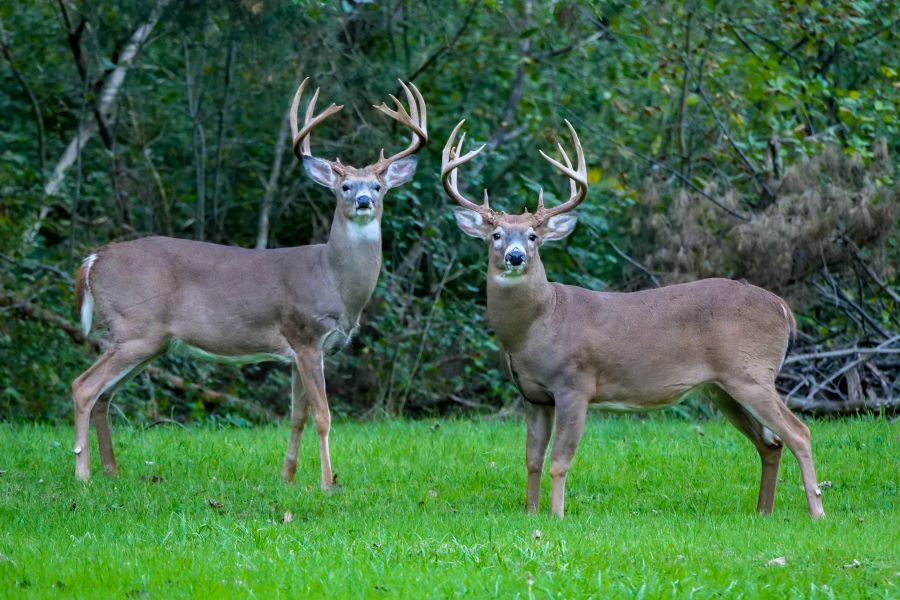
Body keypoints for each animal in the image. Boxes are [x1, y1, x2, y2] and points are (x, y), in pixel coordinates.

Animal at [68, 76, 428, 488]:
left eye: (379, 186)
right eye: (344, 187)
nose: (365, 200)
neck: (334, 279)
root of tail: (94, 259)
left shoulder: (302, 352)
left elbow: (297, 416)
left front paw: (288, 478)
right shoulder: (306, 336)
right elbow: (323, 416)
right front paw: (327, 484)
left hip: (146, 341)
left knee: (105, 396)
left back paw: (111, 471)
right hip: (135, 330)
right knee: (83, 387)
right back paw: (83, 475)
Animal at [440, 119, 828, 516]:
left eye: (533, 235)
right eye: (496, 235)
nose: (515, 256)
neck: (536, 327)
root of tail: (782, 307)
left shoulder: (575, 385)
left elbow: (559, 461)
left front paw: (556, 516)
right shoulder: (533, 396)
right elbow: (532, 459)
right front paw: (531, 512)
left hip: (752, 373)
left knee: (799, 433)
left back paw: (816, 512)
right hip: (722, 388)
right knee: (771, 443)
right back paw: (763, 511)